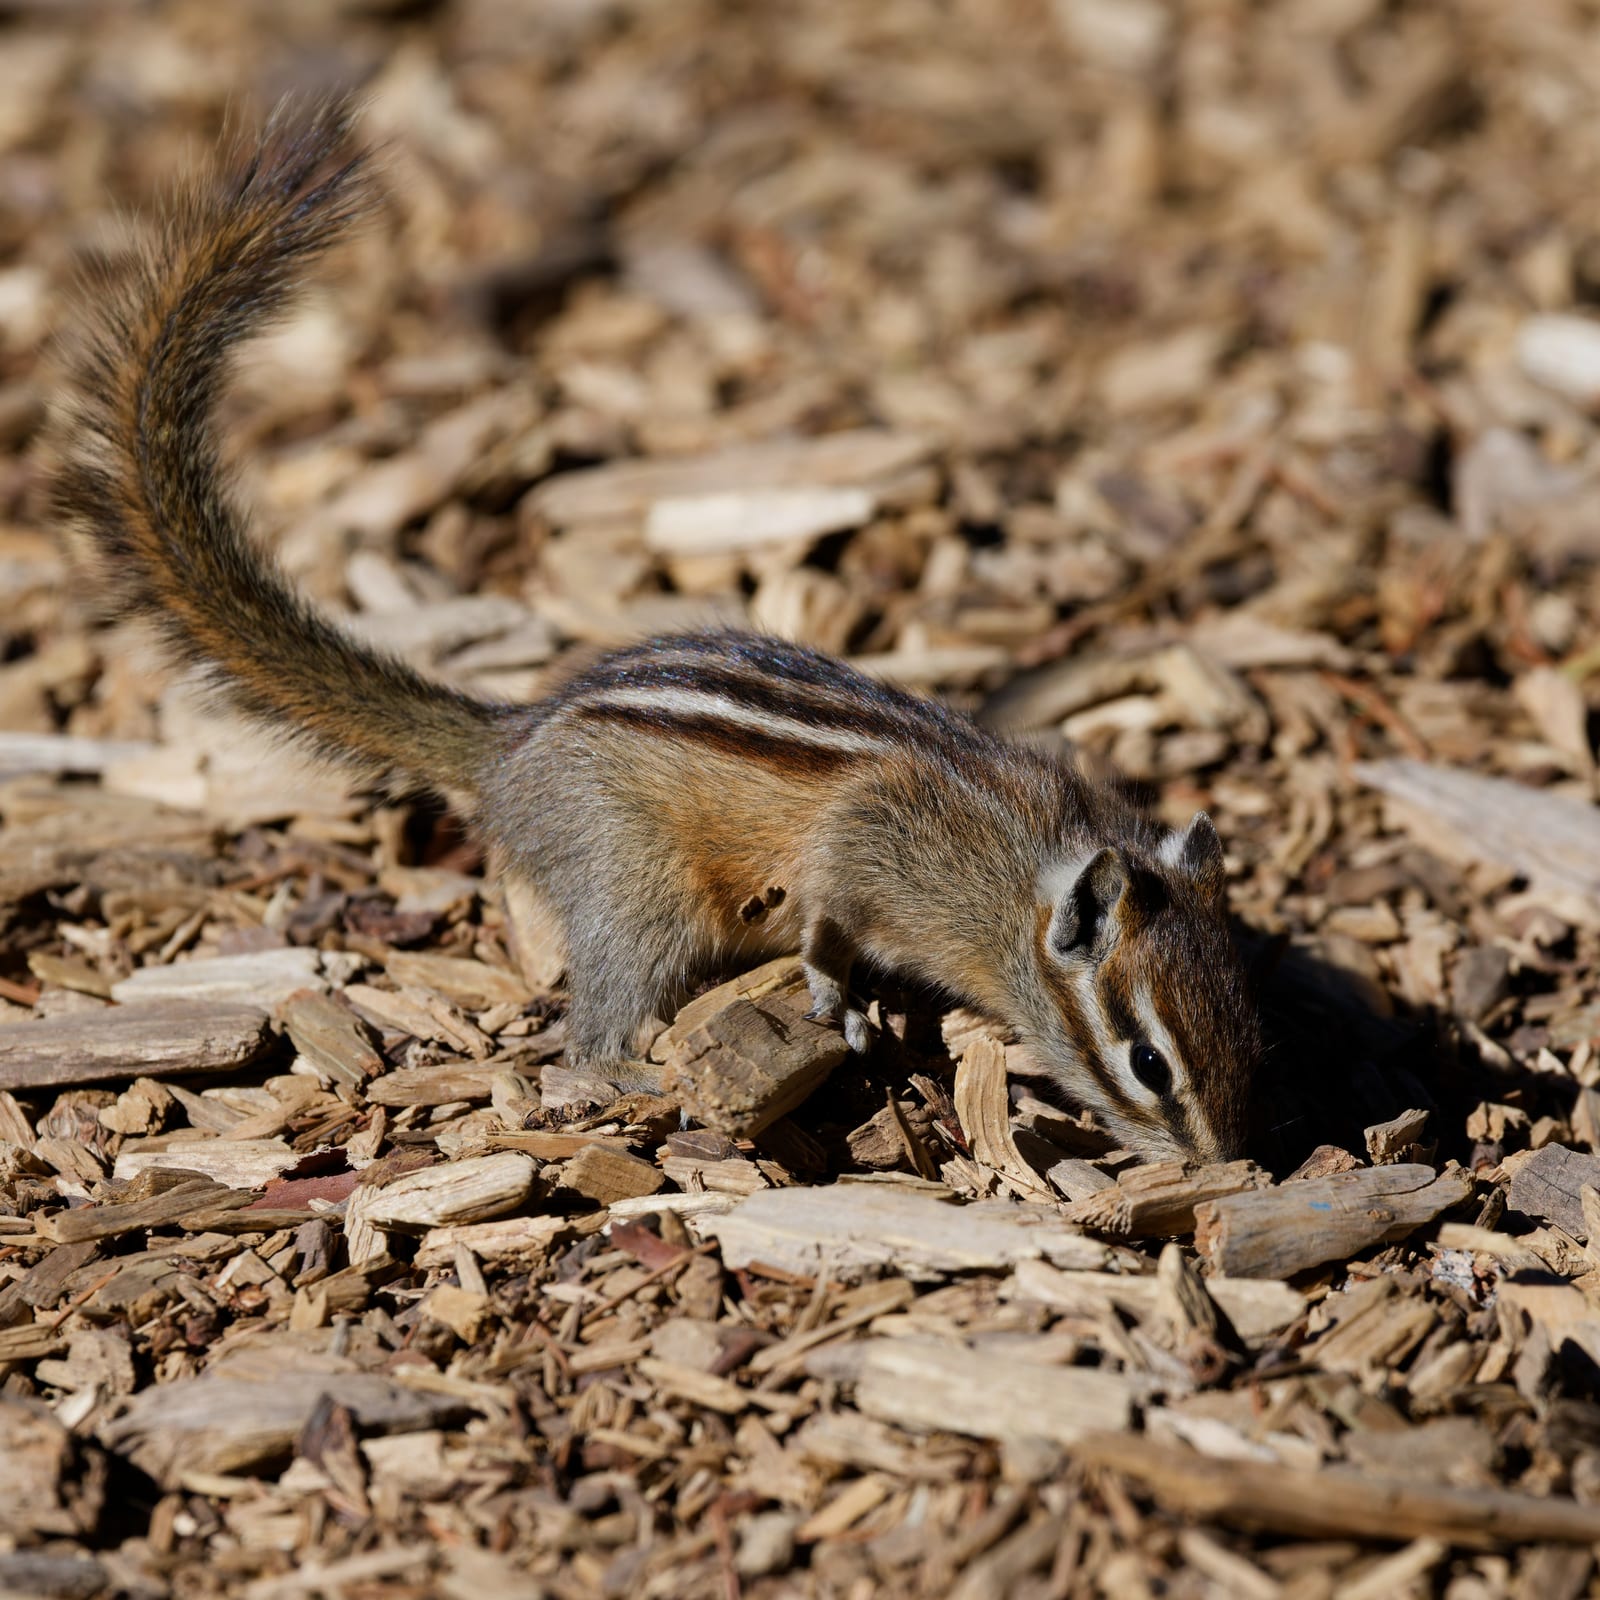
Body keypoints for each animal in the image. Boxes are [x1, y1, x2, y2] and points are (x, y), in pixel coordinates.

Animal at [50, 100, 1260, 1163]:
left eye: (1253, 1030)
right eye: (1150, 1064)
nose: (1231, 1163)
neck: (1018, 880)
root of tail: (512, 743)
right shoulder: (873, 843)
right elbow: (828, 910)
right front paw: (834, 989)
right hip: (639, 888)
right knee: (588, 1028)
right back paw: (633, 1074)